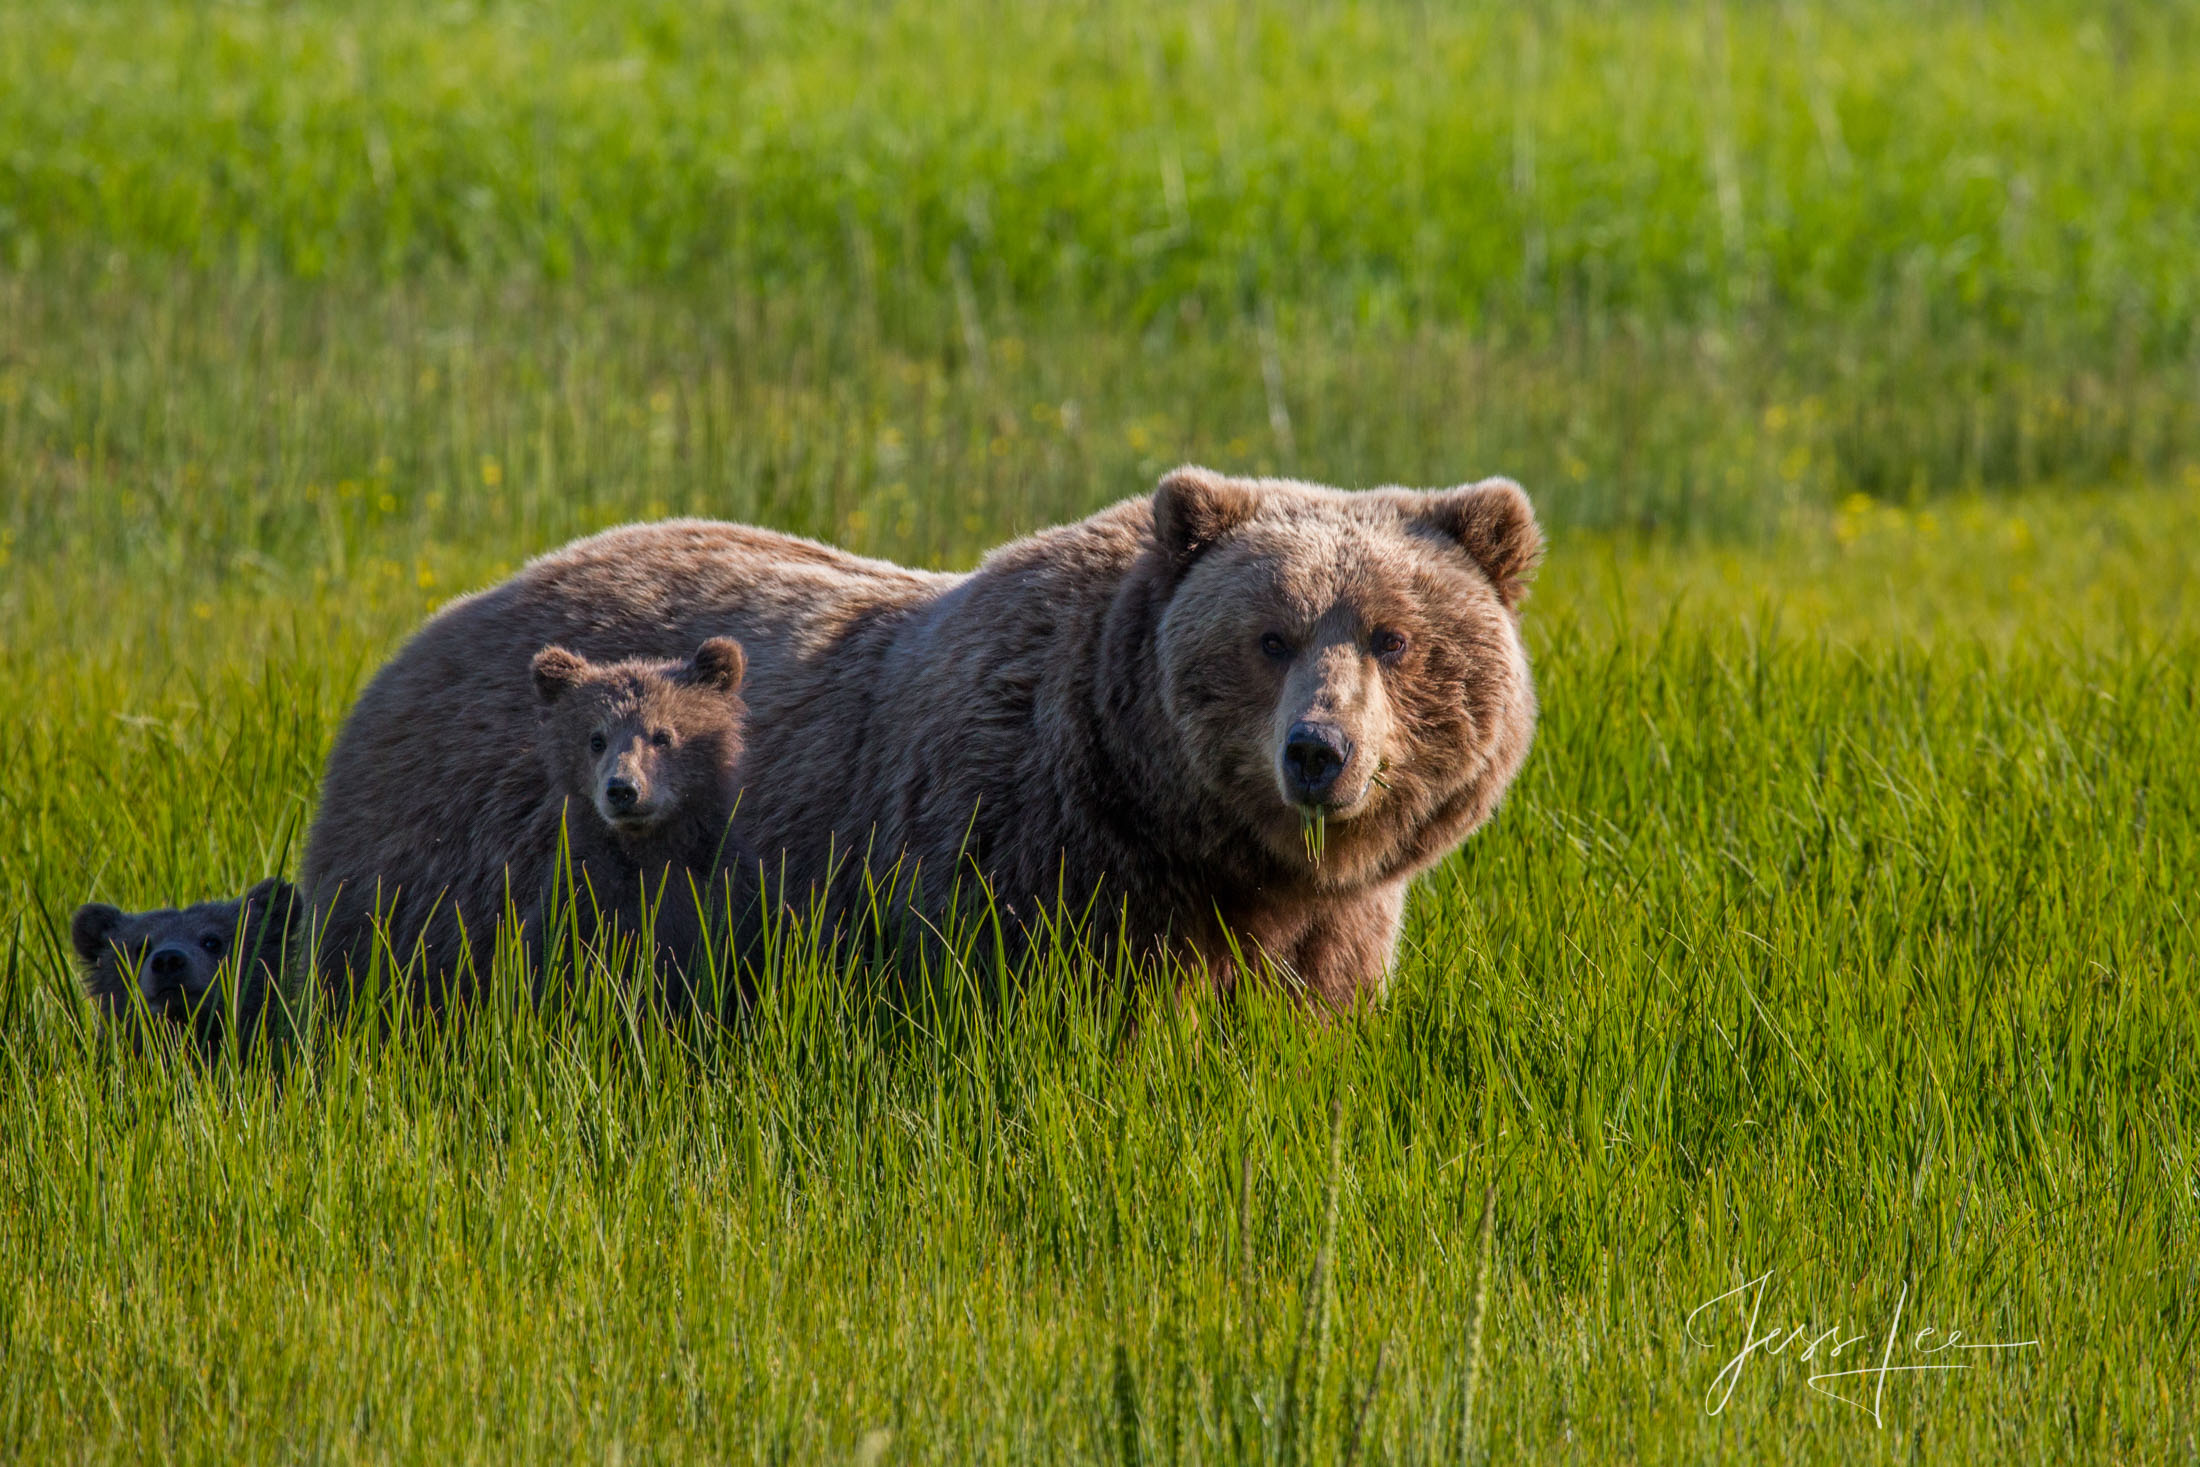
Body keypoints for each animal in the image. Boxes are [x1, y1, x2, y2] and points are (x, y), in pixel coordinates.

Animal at [301, 470, 1548, 1011]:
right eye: (1270, 634)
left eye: (1392, 636)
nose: (1317, 752)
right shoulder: (1022, 860)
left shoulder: (1324, 925)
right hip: (477, 885)